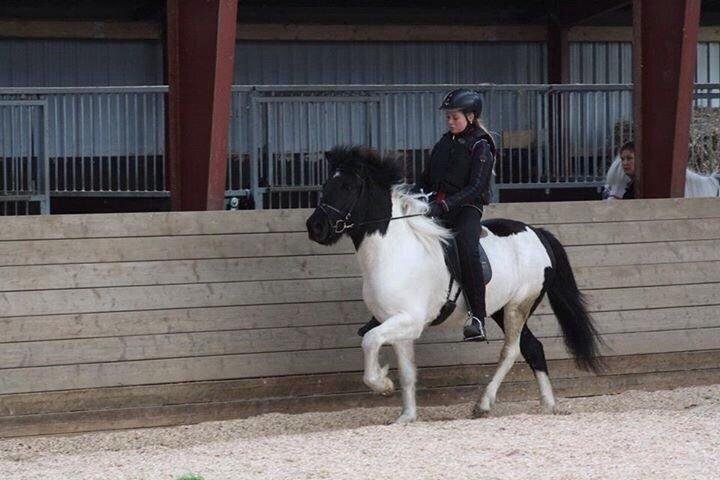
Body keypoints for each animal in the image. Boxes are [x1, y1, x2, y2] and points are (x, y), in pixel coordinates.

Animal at [304, 147, 600, 424]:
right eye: (326, 184)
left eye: (347, 186)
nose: (315, 227)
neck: (393, 251)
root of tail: (537, 232)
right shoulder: (397, 323)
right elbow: (407, 372)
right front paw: (406, 416)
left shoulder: (409, 321)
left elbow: (370, 341)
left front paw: (382, 384)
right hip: (500, 309)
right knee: (533, 348)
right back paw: (549, 405)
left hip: (518, 306)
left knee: (512, 350)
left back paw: (484, 404)